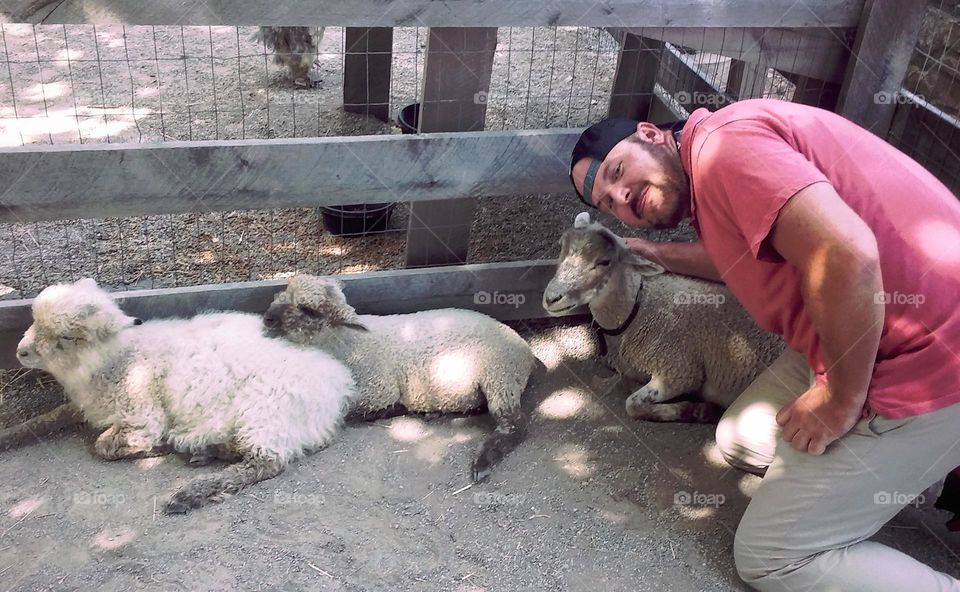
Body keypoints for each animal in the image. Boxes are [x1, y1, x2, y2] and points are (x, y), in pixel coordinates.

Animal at [12, 278, 356, 512]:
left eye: (66, 337)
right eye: (34, 320)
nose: (20, 352)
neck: (119, 358)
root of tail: (338, 386)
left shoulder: (141, 416)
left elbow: (104, 446)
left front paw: (156, 448)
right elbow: (45, 418)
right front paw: (11, 434)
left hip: (264, 413)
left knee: (265, 463)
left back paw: (188, 492)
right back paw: (207, 450)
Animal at [260, 276, 540, 484]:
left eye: (308, 309)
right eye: (285, 291)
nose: (267, 318)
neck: (348, 343)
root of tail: (524, 349)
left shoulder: (376, 391)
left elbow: (357, 412)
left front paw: (392, 410)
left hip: (500, 377)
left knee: (516, 425)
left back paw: (482, 462)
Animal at [544, 215, 784, 424]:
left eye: (604, 261)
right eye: (561, 248)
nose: (551, 298)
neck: (638, 309)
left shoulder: (679, 369)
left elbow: (632, 404)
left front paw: (700, 410)